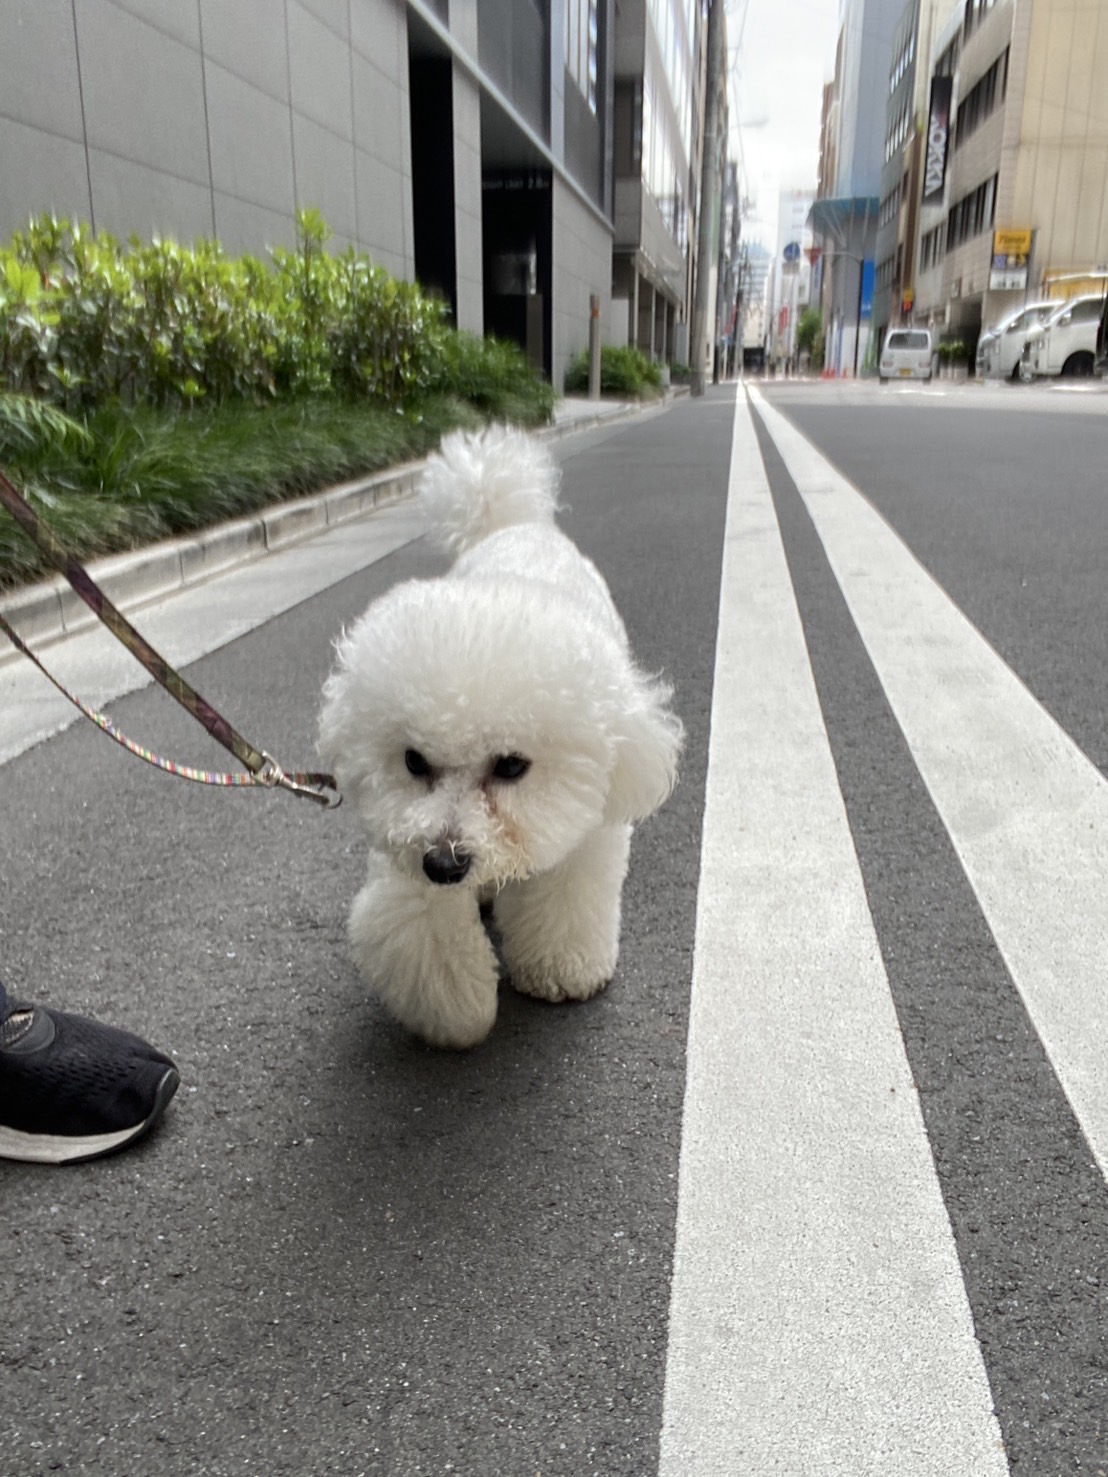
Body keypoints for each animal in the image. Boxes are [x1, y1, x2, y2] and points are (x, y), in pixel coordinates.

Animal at [318, 424, 683, 1049]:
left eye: (512, 765)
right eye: (413, 761)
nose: (445, 864)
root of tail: (514, 523)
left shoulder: (587, 827)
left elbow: (563, 900)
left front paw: (559, 970)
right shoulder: (405, 846)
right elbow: (419, 927)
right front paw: (457, 1013)